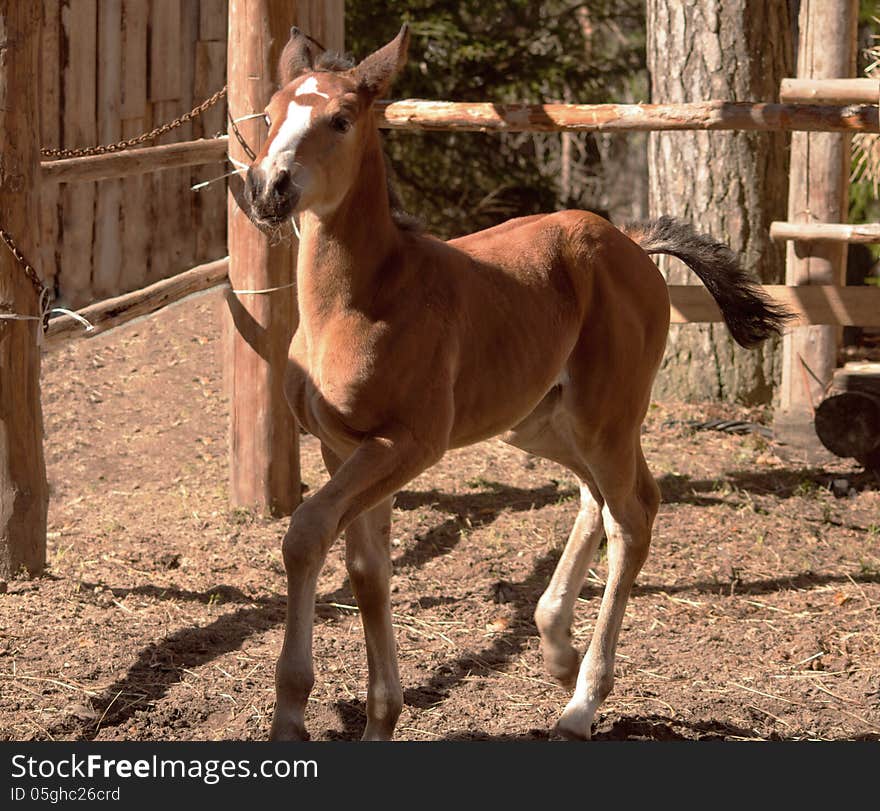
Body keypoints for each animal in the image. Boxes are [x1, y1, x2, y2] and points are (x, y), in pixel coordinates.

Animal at [242, 25, 792, 740]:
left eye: (338, 119)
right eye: (270, 113)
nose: (267, 189)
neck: (360, 301)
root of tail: (633, 244)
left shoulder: (410, 444)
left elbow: (306, 532)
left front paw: (290, 717)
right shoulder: (343, 448)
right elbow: (368, 571)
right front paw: (380, 718)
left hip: (605, 415)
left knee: (632, 516)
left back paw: (581, 703)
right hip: (542, 423)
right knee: (600, 496)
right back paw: (557, 645)